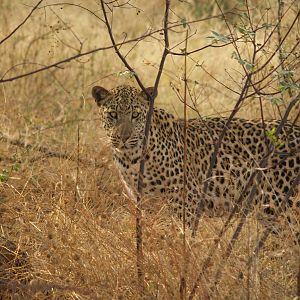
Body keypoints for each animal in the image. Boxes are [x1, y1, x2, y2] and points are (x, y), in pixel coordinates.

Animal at [92, 84, 300, 234]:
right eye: (113, 115)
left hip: (289, 209)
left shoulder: (185, 201)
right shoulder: (145, 203)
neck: (130, 158)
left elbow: (182, 238)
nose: (124, 137)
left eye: (135, 115)